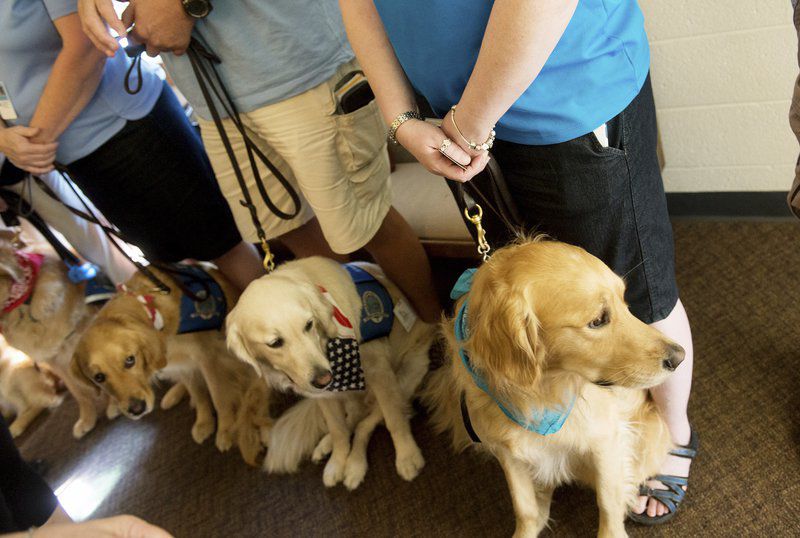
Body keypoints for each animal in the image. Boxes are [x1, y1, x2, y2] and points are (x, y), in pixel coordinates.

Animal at [70, 264, 268, 460]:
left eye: (130, 360)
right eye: (99, 377)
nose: (137, 409)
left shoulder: (206, 358)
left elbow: (218, 397)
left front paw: (225, 430)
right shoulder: (183, 366)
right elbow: (198, 394)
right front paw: (204, 422)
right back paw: (172, 395)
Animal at [225, 255, 438, 486]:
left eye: (308, 324)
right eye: (275, 343)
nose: (324, 378)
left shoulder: (380, 372)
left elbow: (394, 419)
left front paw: (407, 455)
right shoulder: (324, 394)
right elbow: (338, 430)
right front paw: (336, 462)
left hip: (409, 374)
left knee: (366, 423)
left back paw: (355, 466)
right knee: (354, 417)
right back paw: (329, 447)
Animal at [424, 239, 680, 536]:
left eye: (625, 301)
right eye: (598, 320)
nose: (679, 357)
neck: (542, 394)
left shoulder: (606, 440)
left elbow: (607, 502)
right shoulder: (508, 453)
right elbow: (525, 508)